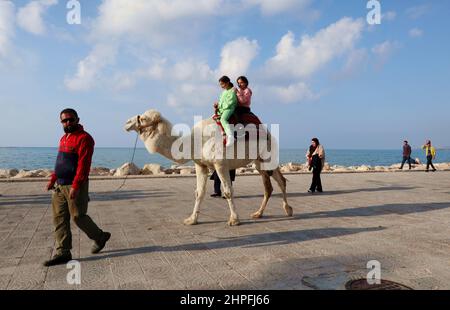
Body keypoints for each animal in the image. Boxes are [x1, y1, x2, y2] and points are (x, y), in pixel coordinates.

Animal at [124, 109, 292, 225]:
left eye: (143, 118)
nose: (126, 122)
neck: (194, 142)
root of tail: (270, 133)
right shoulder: (201, 165)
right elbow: (199, 192)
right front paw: (191, 219)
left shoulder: (220, 164)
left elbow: (228, 192)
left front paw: (234, 220)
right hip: (258, 162)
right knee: (270, 186)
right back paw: (260, 213)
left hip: (267, 156)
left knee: (279, 181)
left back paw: (287, 210)